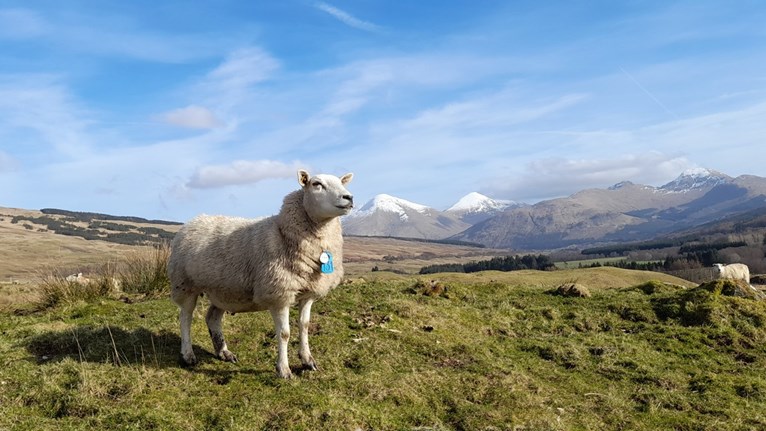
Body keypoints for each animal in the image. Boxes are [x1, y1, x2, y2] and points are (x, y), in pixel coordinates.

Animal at [168, 170, 354, 378]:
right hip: (185, 283)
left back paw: (223, 352)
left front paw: (307, 360)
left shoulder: (308, 293)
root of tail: (194, 220)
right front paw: (283, 369)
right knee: (185, 317)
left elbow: (304, 326)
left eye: (342, 183)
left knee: (212, 317)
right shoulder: (279, 293)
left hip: (223, 289)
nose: (349, 198)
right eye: (317, 184)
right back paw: (188, 355)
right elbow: (284, 333)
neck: (283, 232)